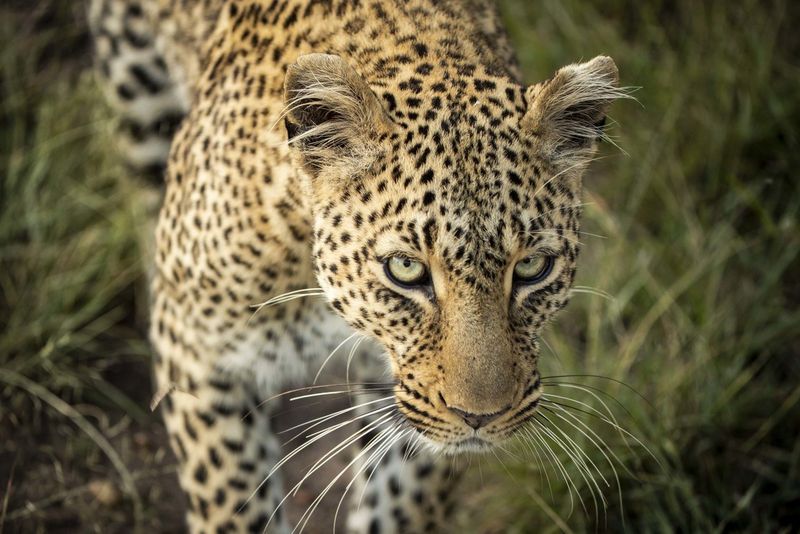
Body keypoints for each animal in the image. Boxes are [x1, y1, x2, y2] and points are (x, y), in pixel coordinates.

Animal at [90, 0, 626, 531]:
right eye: (406, 268)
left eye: (532, 266)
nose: (480, 418)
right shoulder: (198, 353)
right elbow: (232, 499)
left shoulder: (406, 398)